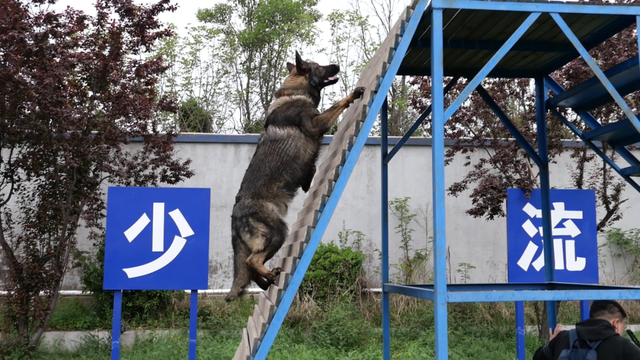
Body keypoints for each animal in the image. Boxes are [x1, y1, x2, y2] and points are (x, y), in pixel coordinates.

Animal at [225, 52, 364, 300]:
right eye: (319, 66)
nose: (337, 65)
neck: (295, 93)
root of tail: (237, 213)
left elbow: (311, 169)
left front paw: (308, 177)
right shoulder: (317, 122)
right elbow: (336, 104)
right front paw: (353, 94)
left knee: (250, 269)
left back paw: (267, 280)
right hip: (278, 232)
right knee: (252, 261)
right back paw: (268, 275)